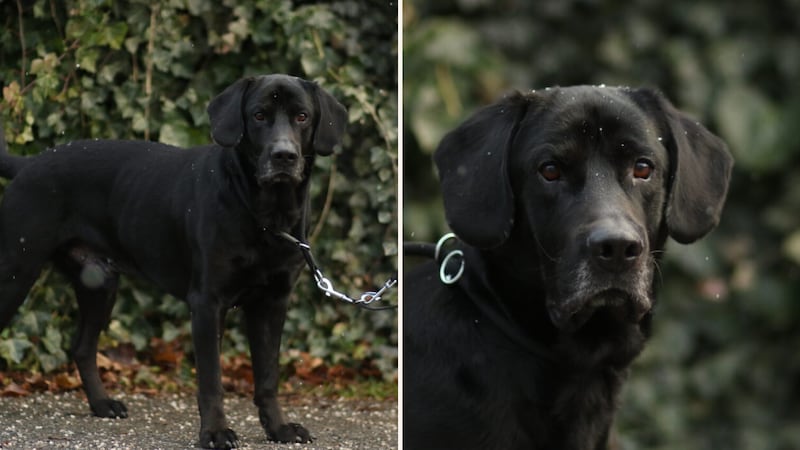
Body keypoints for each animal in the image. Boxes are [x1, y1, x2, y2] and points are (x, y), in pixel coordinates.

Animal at [0, 74, 346, 450]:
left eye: (302, 116)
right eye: (258, 115)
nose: (284, 155)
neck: (265, 214)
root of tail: (29, 164)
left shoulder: (272, 303)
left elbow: (268, 376)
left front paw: (279, 429)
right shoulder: (207, 304)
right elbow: (211, 380)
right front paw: (215, 432)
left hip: (100, 283)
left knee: (82, 347)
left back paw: (102, 404)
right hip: (15, 273)